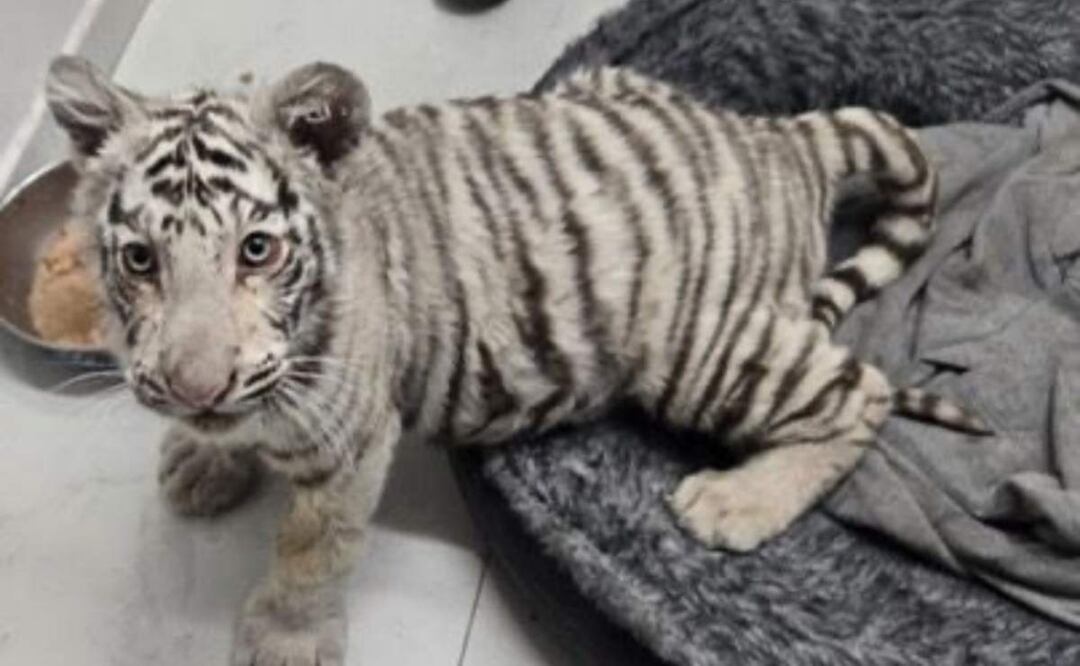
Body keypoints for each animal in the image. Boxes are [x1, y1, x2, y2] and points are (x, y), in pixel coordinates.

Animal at [44, 56, 985, 666]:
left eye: (257, 250)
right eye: (140, 261)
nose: (195, 390)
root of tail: (779, 141)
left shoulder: (350, 440)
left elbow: (315, 548)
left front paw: (288, 640)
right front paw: (202, 458)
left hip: (701, 344)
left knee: (859, 393)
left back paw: (735, 503)